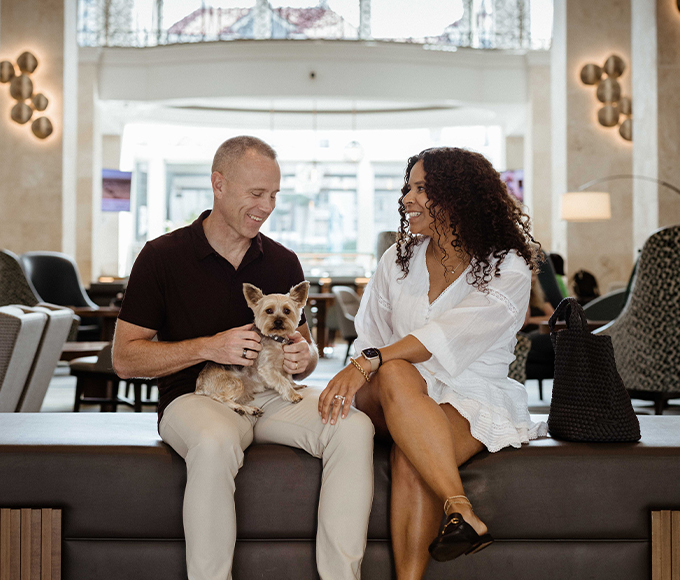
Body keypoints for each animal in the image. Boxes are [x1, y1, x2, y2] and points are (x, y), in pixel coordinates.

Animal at [195, 281, 310, 416]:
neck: (276, 339)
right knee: (218, 397)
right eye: (269, 310)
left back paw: (250, 409)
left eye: (287, 311)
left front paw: (295, 386)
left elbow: (288, 376)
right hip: (234, 383)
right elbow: (282, 380)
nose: (278, 321)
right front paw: (293, 394)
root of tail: (200, 385)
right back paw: (237, 408)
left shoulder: (286, 361)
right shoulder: (266, 368)